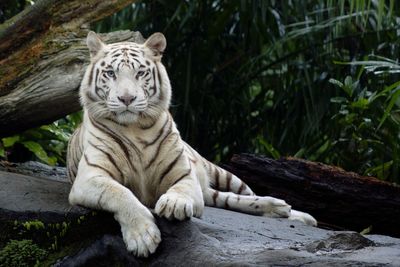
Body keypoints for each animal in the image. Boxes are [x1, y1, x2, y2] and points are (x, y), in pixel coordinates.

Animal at [67, 31, 318, 260]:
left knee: (245, 194)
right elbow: (121, 194)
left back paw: (294, 213)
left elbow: (181, 189)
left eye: (140, 73)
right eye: (111, 73)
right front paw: (143, 237)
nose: (126, 99)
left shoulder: (184, 175)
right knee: (226, 199)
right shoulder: (90, 178)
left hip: (221, 173)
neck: (135, 129)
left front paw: (174, 204)